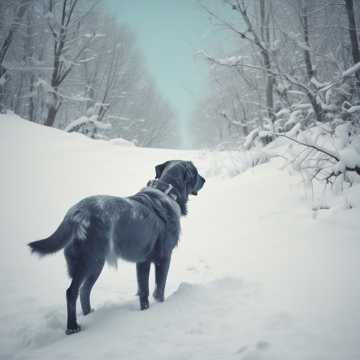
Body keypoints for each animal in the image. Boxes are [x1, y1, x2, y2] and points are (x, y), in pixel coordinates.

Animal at [28, 160, 205, 334]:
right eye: (196, 172)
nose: (204, 180)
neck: (167, 191)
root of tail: (77, 211)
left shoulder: (142, 262)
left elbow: (143, 291)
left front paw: (145, 311)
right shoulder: (164, 258)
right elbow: (158, 290)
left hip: (95, 264)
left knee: (84, 291)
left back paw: (89, 314)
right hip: (89, 261)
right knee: (72, 292)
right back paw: (73, 327)